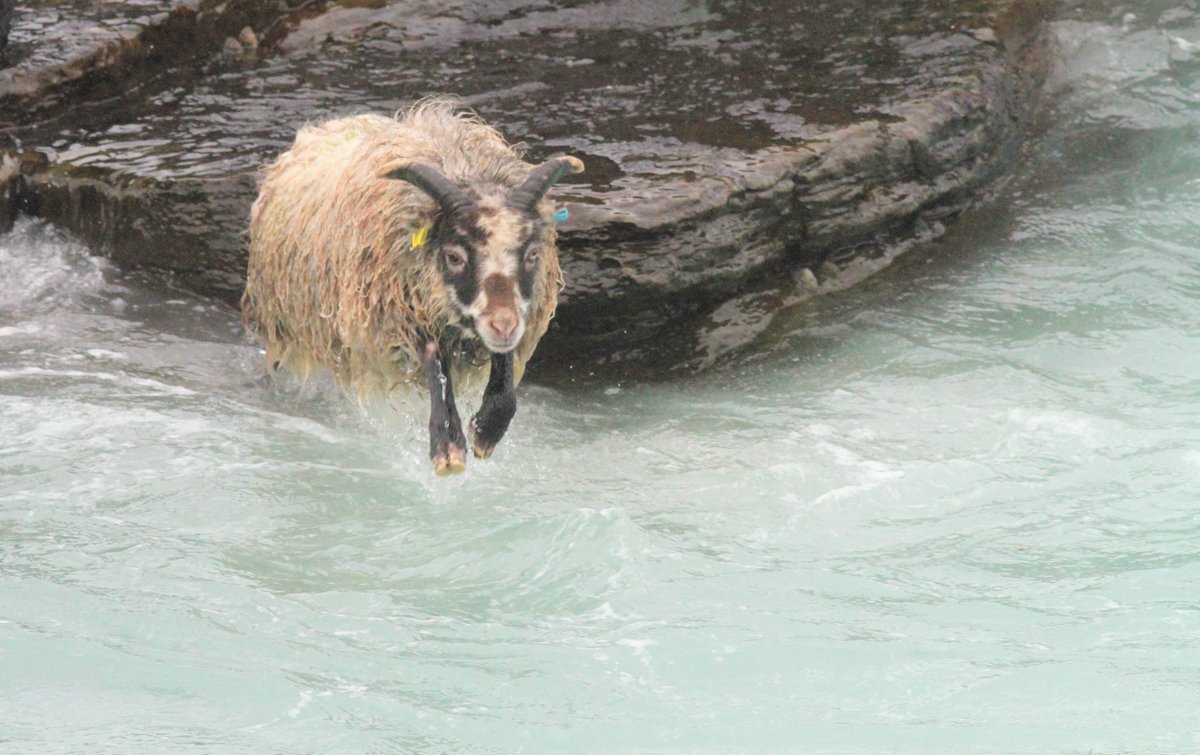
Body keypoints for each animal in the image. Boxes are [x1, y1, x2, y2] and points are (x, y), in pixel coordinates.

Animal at [241, 98, 584, 475]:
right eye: (453, 256)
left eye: (532, 253)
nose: (503, 324)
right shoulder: (403, 315)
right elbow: (437, 371)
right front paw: (447, 449)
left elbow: (504, 379)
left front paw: (486, 431)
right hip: (283, 323)